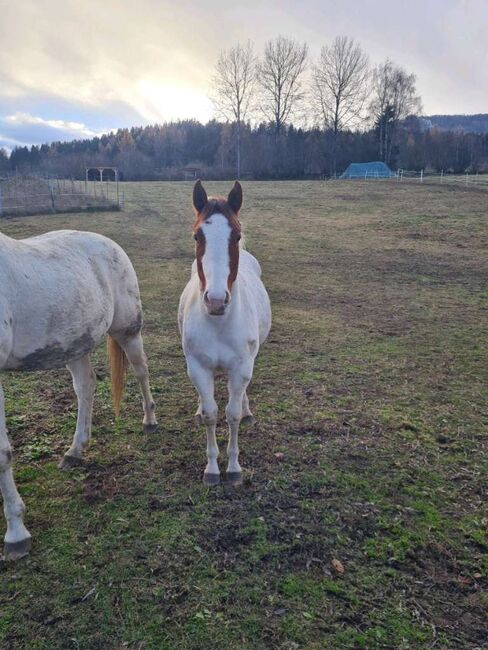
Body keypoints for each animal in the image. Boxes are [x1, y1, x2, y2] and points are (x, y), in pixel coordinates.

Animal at [0, 228, 156, 556]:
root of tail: (108, 243)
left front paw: (16, 533)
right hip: (75, 345)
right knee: (86, 386)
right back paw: (75, 451)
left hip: (127, 330)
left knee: (140, 370)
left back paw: (149, 420)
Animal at [178, 180, 270, 484]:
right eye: (197, 236)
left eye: (236, 235)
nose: (216, 301)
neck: (219, 323)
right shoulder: (198, 367)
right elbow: (211, 414)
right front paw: (211, 468)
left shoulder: (241, 367)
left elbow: (231, 415)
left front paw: (233, 468)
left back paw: (247, 410)